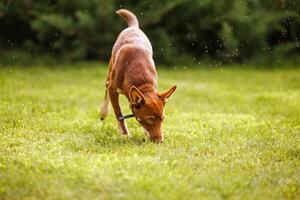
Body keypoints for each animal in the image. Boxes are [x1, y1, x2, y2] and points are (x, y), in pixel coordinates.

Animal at [99, 8, 177, 142]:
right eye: (150, 119)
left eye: (162, 119)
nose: (159, 141)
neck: (141, 81)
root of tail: (134, 27)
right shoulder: (113, 89)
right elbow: (119, 114)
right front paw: (125, 135)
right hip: (110, 72)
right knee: (106, 89)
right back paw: (103, 112)